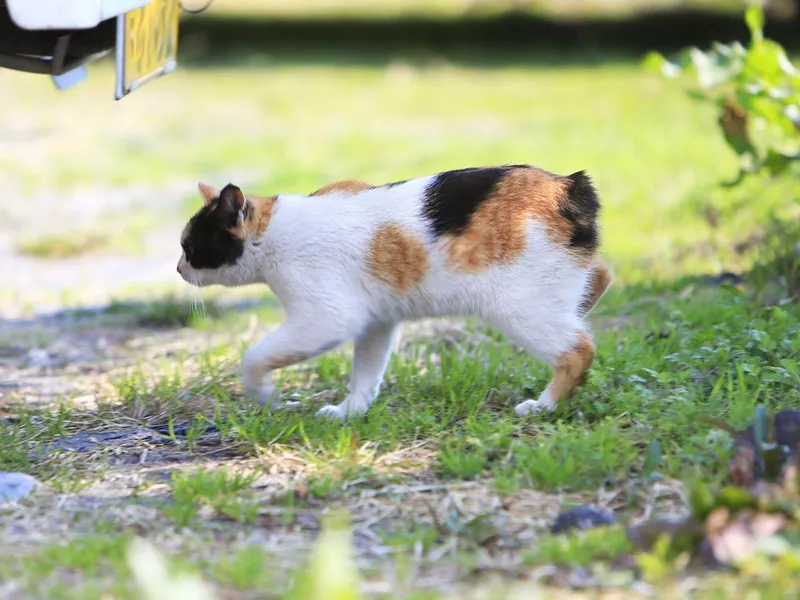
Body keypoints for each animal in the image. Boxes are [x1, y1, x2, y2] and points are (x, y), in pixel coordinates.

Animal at [177, 162, 612, 420]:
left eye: (190, 246)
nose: (179, 268)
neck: (272, 232)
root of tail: (568, 186)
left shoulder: (326, 318)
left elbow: (254, 356)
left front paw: (263, 393)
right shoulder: (376, 322)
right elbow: (366, 374)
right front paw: (349, 412)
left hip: (519, 307)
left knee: (578, 351)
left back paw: (544, 405)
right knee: (601, 276)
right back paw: (583, 307)